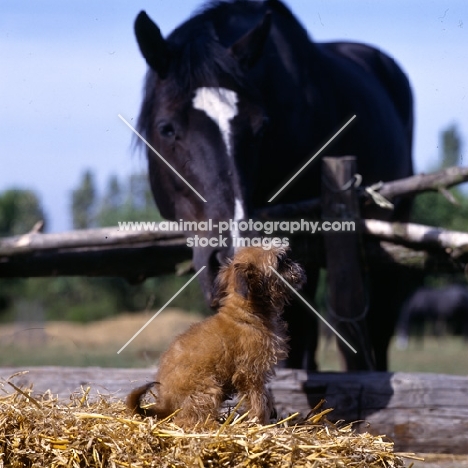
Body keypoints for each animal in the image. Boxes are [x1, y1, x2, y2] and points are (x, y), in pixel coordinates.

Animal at [126, 245, 306, 428]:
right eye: (280, 261)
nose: (297, 266)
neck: (247, 313)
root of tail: (165, 403)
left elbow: (265, 398)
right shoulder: (250, 374)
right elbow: (259, 400)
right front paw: (260, 422)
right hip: (209, 389)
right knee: (187, 420)